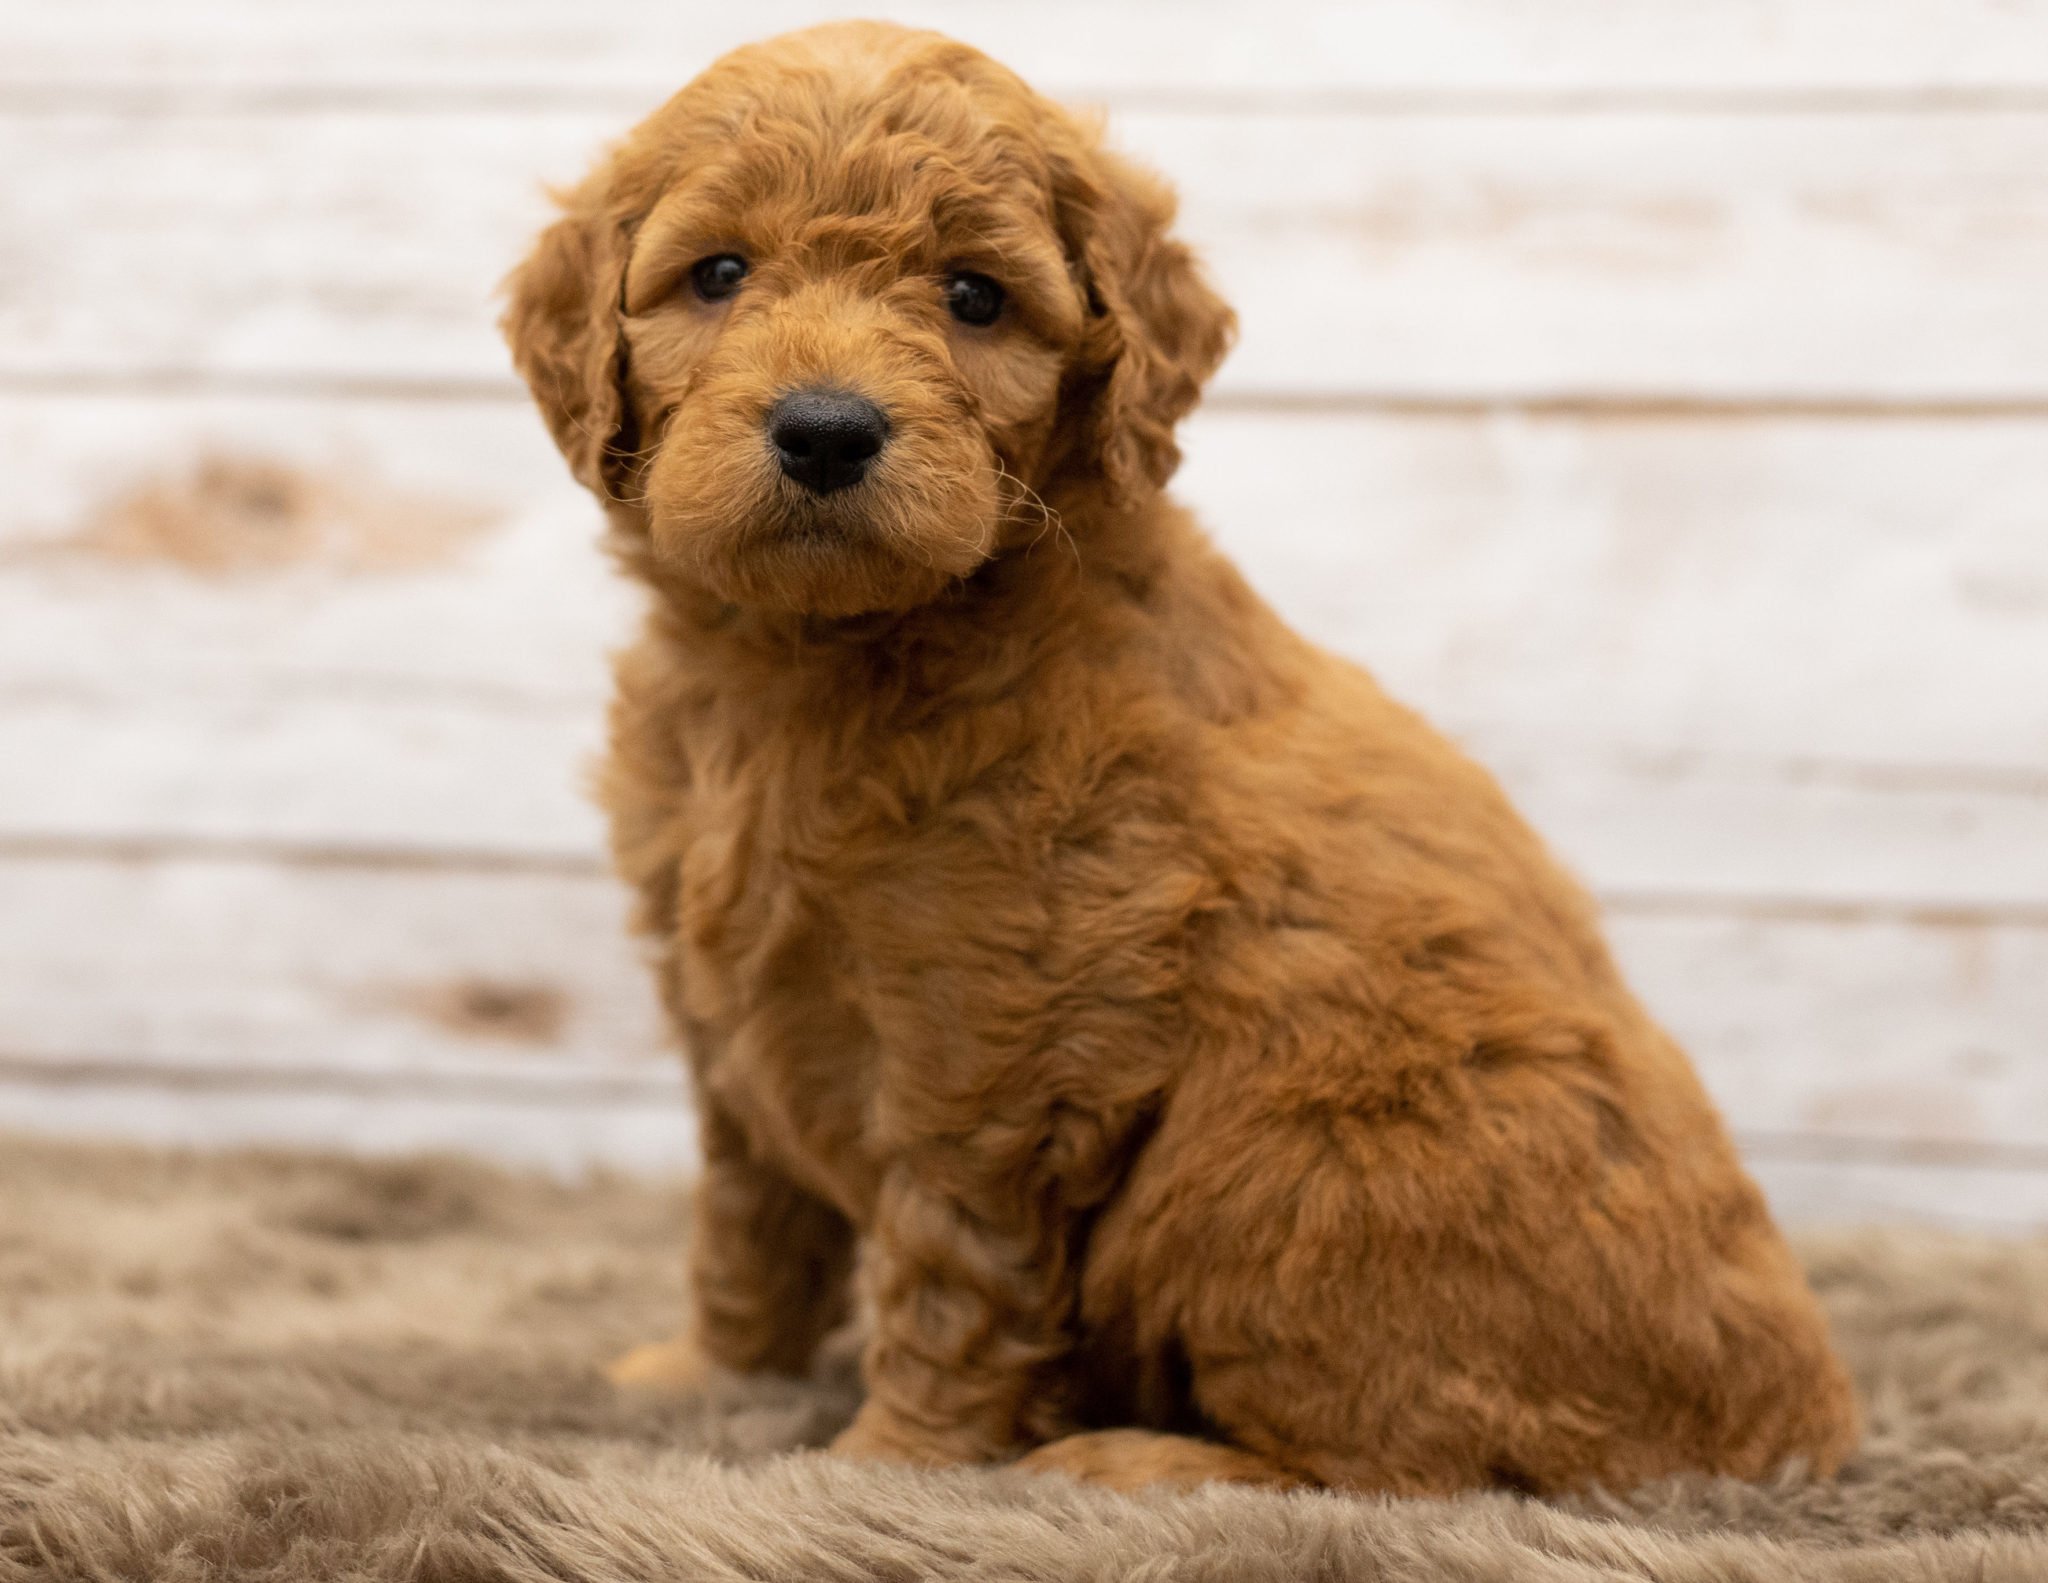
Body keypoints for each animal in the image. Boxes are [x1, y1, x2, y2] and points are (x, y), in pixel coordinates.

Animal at [503, 18, 1867, 1490]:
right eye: (717, 274)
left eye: (975, 298)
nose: (825, 428)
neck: (810, 660)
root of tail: (1792, 1427)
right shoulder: (726, 1011)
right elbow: (748, 1217)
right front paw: (712, 1376)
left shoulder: (991, 1036)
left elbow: (945, 1264)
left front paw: (888, 1461)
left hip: (1274, 1161)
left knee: (1407, 1469)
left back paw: (1128, 1462)